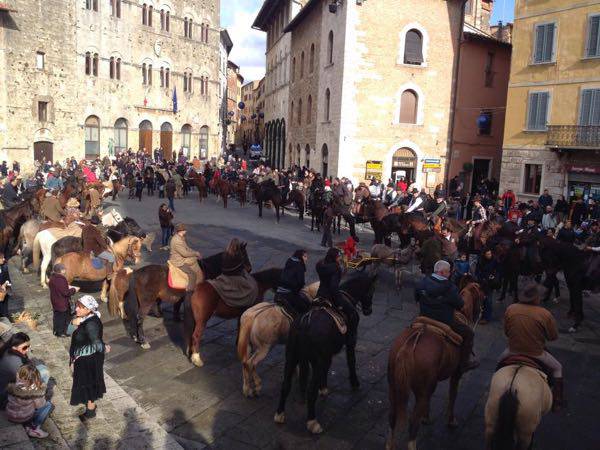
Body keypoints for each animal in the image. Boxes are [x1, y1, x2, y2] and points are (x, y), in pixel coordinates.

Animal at [274, 272, 378, 434]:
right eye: (371, 290)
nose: (369, 310)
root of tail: (304, 324)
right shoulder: (350, 342)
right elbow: (351, 361)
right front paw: (355, 383)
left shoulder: (322, 356)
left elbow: (325, 370)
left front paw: (323, 388)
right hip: (315, 359)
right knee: (310, 391)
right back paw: (312, 422)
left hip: (291, 356)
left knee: (286, 385)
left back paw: (280, 414)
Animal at [384, 278, 488, 450]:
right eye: (481, 294)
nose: (481, 312)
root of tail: (409, 345)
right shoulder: (456, 374)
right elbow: (453, 395)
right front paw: (451, 421)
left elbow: (431, 399)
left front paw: (426, 417)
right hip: (420, 390)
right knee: (413, 422)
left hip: (394, 385)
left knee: (393, 416)